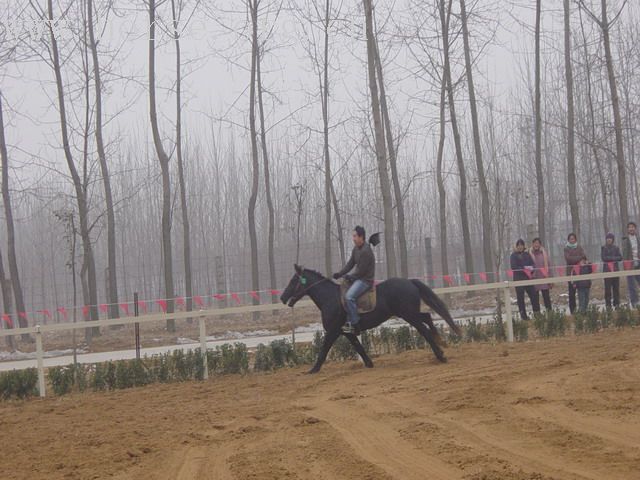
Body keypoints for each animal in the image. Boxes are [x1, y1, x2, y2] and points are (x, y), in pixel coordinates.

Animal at [280, 264, 460, 374]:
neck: (329, 299)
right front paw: (369, 364)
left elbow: (323, 350)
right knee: (428, 317)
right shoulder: (347, 332)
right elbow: (359, 347)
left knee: (424, 330)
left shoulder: (332, 331)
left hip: (409, 315)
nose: (282, 298)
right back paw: (442, 342)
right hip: (409, 313)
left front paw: (313, 370)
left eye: (293, 280)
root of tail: (409, 282)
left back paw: (441, 355)